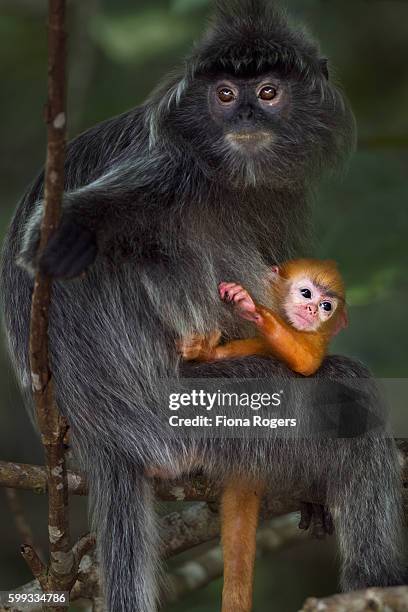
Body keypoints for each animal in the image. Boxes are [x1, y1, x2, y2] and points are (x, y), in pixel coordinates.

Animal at [181, 258, 348, 612]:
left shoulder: (313, 341)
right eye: (306, 293)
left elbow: (307, 362)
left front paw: (252, 307)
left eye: (326, 306)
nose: (312, 310)